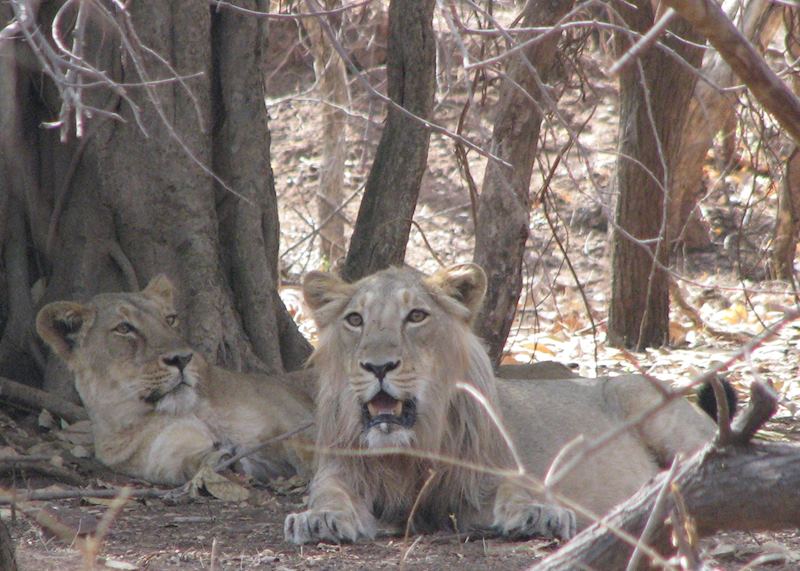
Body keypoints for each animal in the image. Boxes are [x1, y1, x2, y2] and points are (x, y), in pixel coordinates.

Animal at [36, 275, 314, 486]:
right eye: (124, 328)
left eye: (169, 319)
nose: (182, 359)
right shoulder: (165, 455)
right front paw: (220, 458)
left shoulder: (292, 424)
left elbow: (308, 449)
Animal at [284, 264, 720, 544]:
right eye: (355, 320)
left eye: (417, 316)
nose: (378, 366)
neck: (411, 450)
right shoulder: (340, 468)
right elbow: (328, 494)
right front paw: (320, 519)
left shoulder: (492, 468)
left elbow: (518, 486)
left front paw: (537, 515)